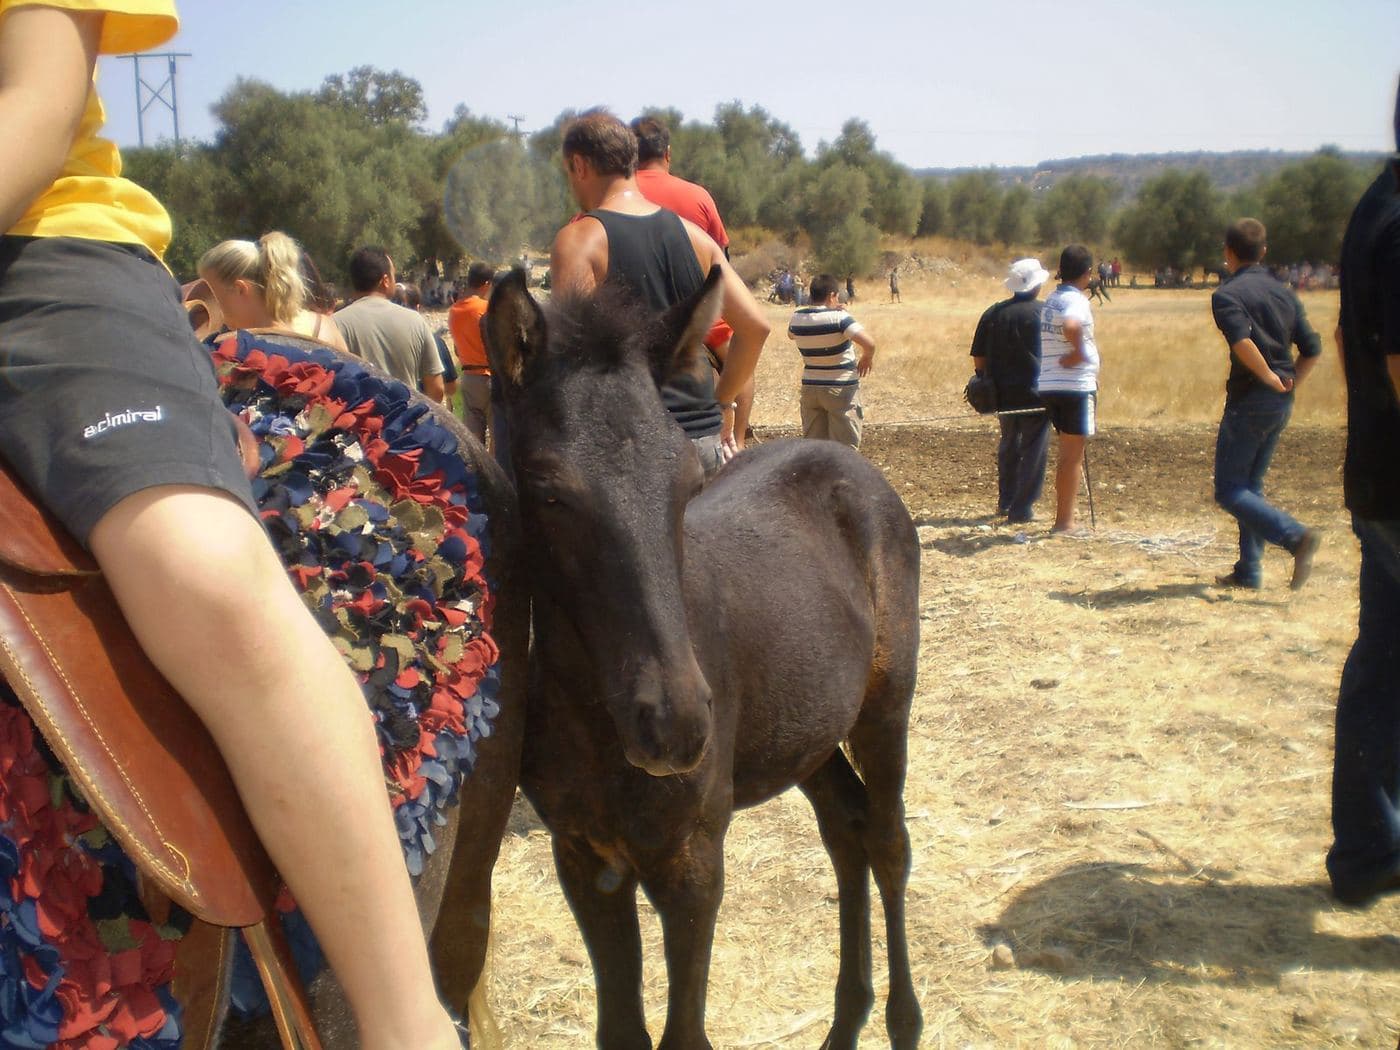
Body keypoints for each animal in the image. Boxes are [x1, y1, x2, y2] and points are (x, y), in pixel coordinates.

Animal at [486, 268, 923, 1050]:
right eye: (546, 490)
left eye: (686, 479)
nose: (678, 724)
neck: (595, 720)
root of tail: (851, 463)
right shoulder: (582, 856)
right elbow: (621, 1030)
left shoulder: (692, 863)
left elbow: (683, 1034)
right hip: (807, 735)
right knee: (846, 834)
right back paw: (846, 1019)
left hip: (885, 706)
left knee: (887, 840)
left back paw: (903, 1021)